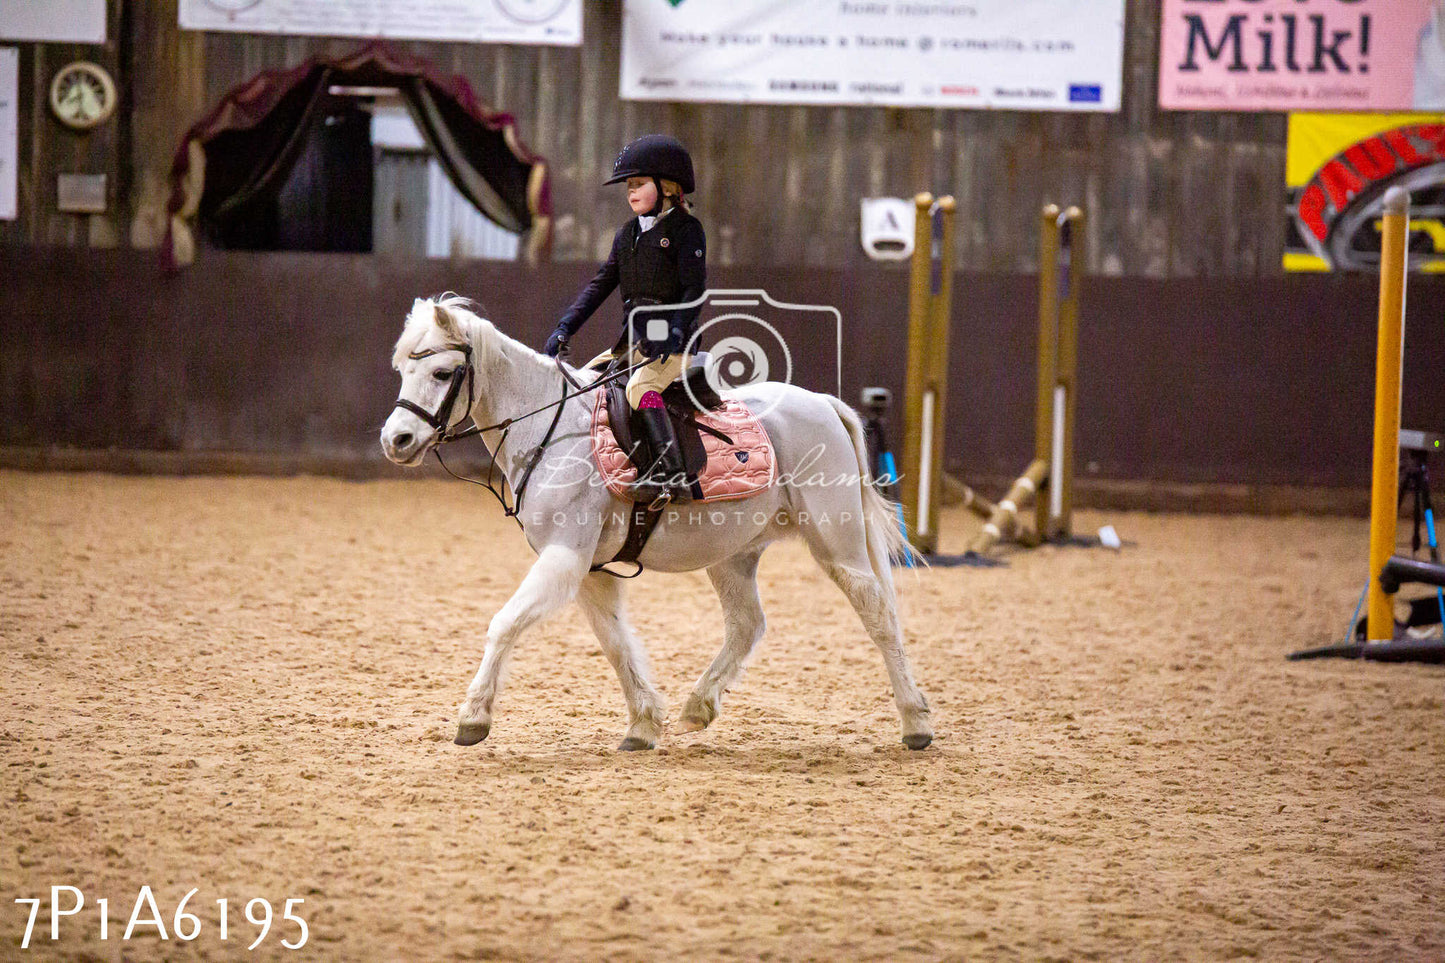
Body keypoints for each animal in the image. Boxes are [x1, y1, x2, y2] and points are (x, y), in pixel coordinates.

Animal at [378, 294, 930, 751]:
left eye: (444, 374)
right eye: (402, 369)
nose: (396, 440)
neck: (550, 429)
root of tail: (823, 404)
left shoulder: (564, 558)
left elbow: (504, 623)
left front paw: (473, 718)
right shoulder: (590, 570)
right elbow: (615, 642)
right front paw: (643, 725)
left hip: (837, 543)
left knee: (877, 612)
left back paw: (916, 723)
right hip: (733, 555)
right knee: (747, 624)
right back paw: (697, 707)